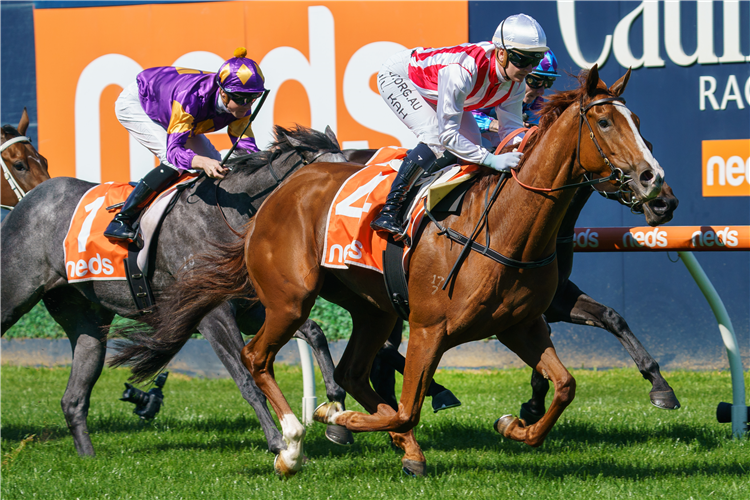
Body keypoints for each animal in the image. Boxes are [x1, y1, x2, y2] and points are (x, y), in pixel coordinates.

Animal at [0, 126, 356, 458]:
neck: (227, 216)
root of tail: (28, 200)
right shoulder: (214, 315)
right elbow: (246, 377)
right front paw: (279, 443)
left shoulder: (249, 310)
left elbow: (314, 332)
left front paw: (337, 414)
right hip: (14, 295)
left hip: (85, 318)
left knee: (73, 397)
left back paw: (88, 458)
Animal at [116, 67, 668, 476]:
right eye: (604, 123)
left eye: (639, 119)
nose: (656, 185)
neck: (504, 227)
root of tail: (275, 195)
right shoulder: (429, 326)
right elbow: (407, 404)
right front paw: (337, 417)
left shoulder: (520, 324)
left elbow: (565, 385)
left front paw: (515, 425)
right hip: (290, 299)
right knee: (257, 358)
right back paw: (293, 443)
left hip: (373, 308)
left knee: (350, 370)